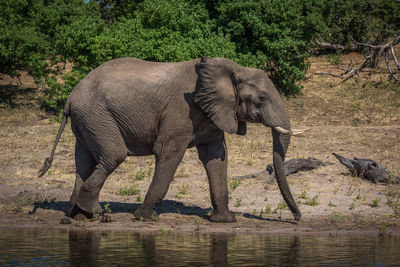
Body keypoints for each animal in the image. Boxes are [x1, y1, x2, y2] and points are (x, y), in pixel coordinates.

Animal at [38, 57, 306, 224]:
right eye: (260, 100)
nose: (297, 218)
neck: (232, 70)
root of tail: (70, 98)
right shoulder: (182, 111)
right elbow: (168, 153)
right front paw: (145, 218)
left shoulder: (212, 113)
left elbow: (216, 158)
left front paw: (224, 221)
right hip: (97, 115)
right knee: (113, 155)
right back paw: (92, 213)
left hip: (87, 120)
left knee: (84, 162)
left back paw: (78, 216)